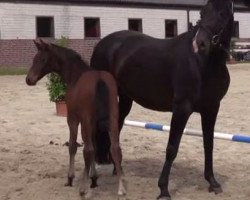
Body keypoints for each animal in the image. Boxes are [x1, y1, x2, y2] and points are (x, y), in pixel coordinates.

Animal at [25, 40, 126, 198]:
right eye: (34, 59)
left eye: (42, 59)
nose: (29, 79)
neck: (76, 75)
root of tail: (100, 80)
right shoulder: (94, 123)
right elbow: (96, 147)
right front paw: (94, 179)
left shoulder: (73, 118)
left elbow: (73, 146)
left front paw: (70, 178)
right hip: (113, 119)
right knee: (115, 148)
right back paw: (121, 188)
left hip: (86, 121)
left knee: (88, 150)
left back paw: (82, 189)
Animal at [91, 0, 235, 199]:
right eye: (202, 12)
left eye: (223, 14)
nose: (200, 43)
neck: (203, 63)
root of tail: (102, 44)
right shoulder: (182, 108)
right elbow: (172, 148)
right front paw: (164, 189)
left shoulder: (212, 108)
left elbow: (209, 144)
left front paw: (213, 182)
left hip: (125, 98)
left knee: (116, 127)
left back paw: (116, 169)